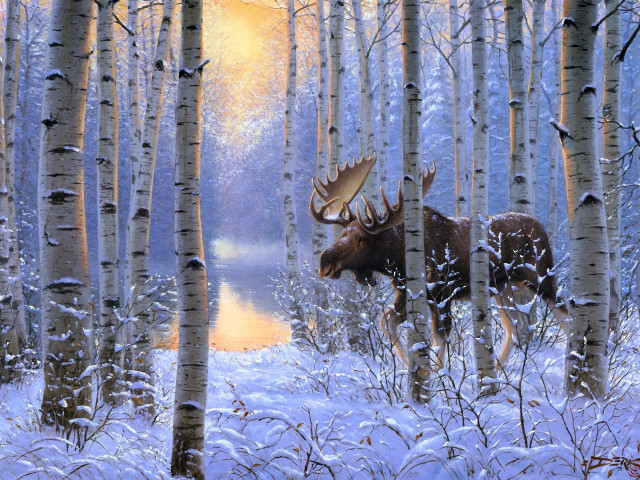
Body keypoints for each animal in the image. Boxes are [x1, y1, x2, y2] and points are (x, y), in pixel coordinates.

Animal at [309, 154, 568, 368]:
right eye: (343, 234)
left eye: (362, 238)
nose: (325, 262)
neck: (398, 260)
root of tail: (542, 228)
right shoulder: (408, 292)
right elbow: (387, 323)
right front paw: (410, 369)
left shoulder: (443, 294)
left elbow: (439, 340)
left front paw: (439, 379)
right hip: (502, 287)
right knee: (517, 326)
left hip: (542, 278)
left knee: (564, 313)